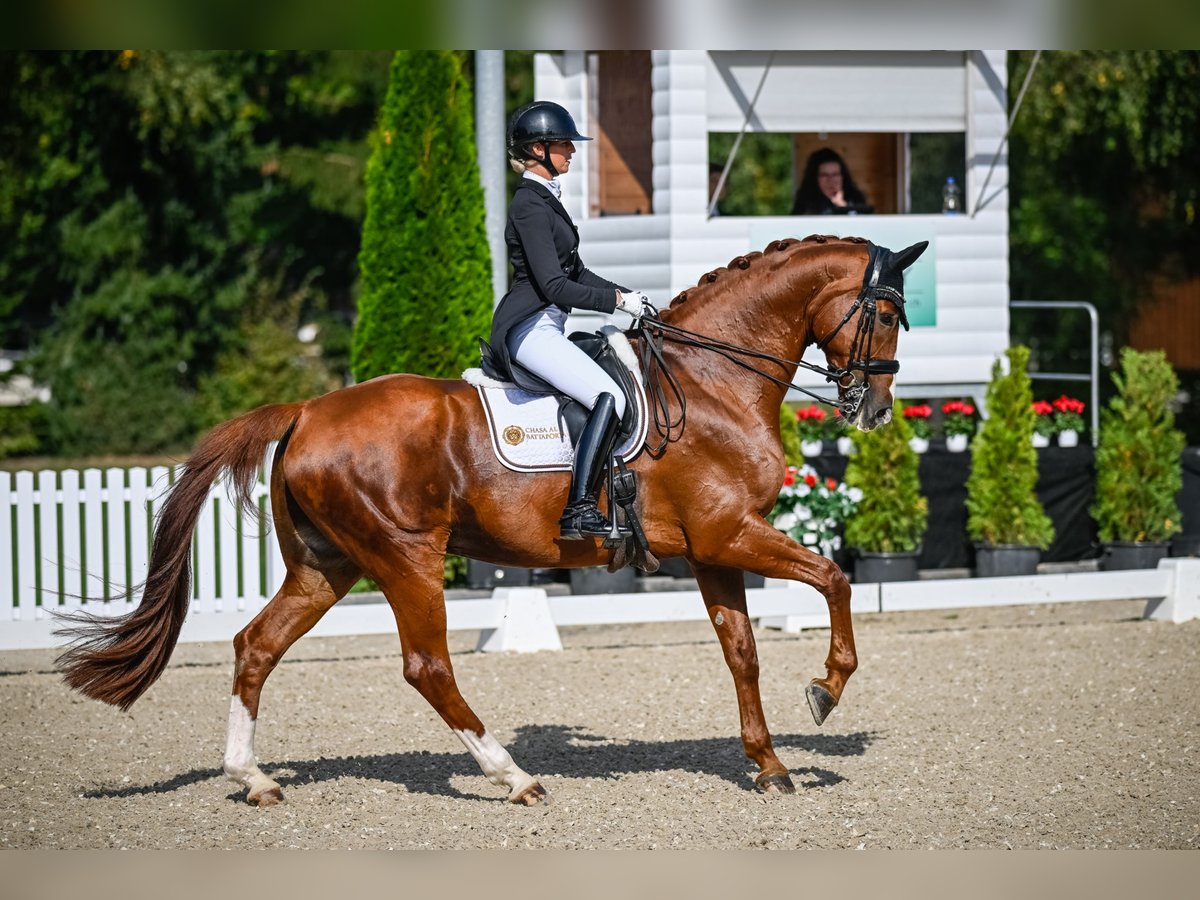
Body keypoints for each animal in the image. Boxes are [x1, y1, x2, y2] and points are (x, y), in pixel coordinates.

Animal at [56, 234, 926, 811]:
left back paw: (255, 779)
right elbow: (835, 578)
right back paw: (514, 777)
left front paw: (769, 764)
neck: (713, 377)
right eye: (887, 316)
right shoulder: (730, 534)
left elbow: (741, 652)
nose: (876, 409)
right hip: (405, 557)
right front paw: (826, 689)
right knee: (427, 667)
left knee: (255, 646)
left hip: (326, 566)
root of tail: (305, 409)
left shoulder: (714, 548)